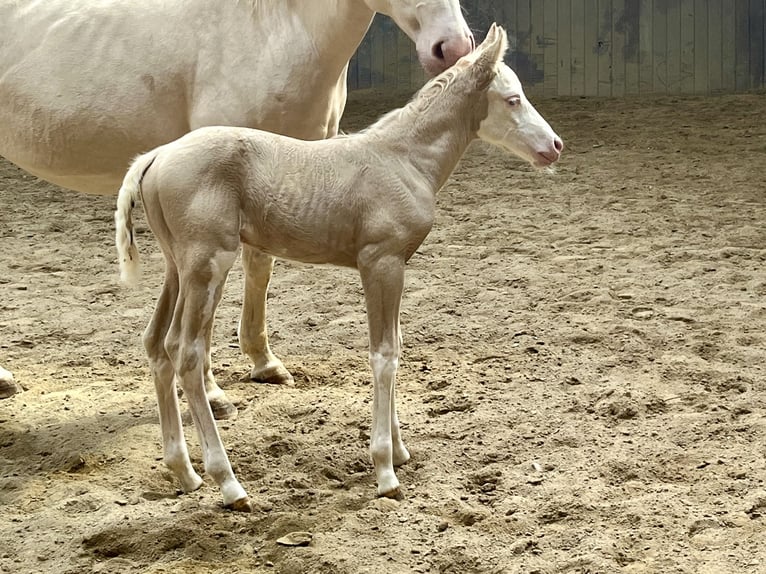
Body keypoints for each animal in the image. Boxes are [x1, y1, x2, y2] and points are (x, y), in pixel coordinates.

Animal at [114, 23, 563, 511]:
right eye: (513, 99)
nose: (555, 146)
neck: (403, 159)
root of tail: (155, 156)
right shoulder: (381, 262)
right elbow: (384, 354)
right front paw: (385, 470)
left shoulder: (393, 266)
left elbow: (396, 345)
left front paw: (399, 450)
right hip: (207, 264)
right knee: (188, 352)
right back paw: (229, 484)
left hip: (177, 268)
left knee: (156, 343)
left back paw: (184, 472)